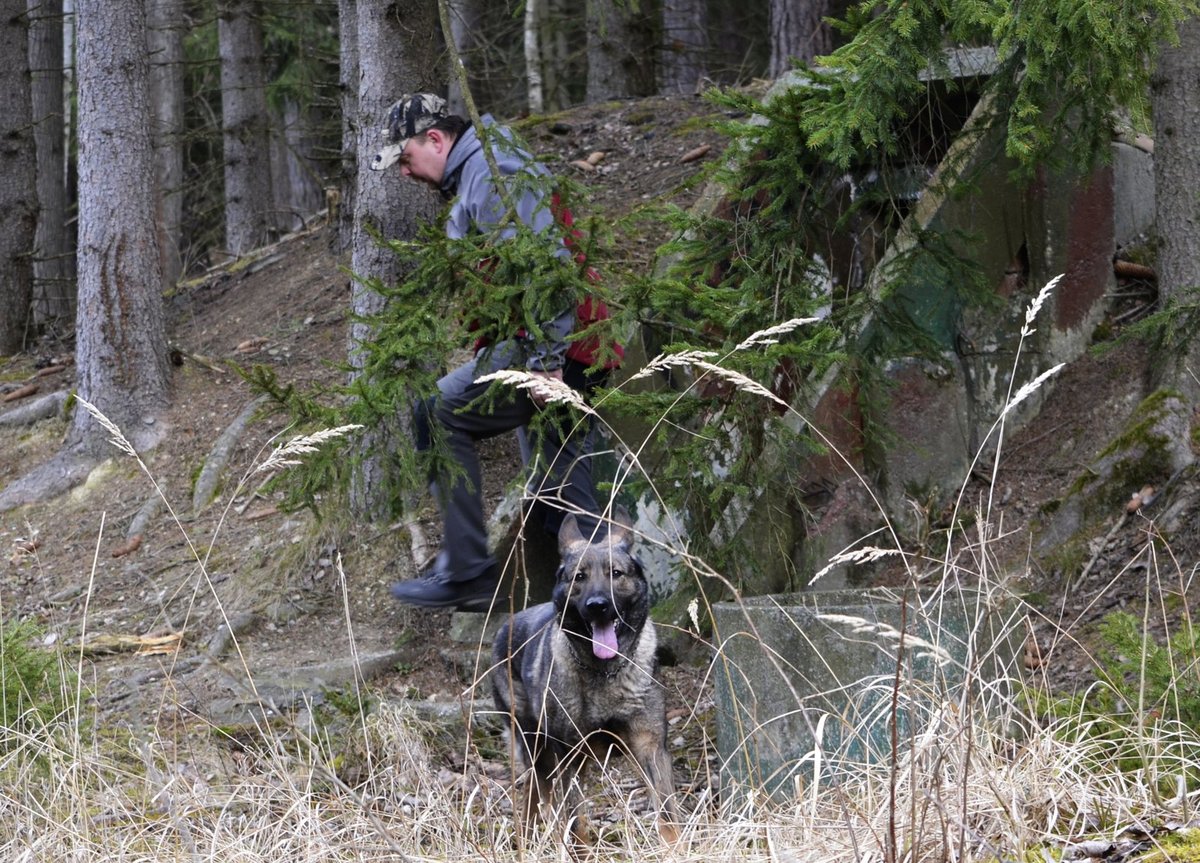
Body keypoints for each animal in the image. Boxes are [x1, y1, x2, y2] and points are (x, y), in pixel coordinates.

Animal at [487, 508, 676, 844]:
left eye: (616, 574)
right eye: (579, 577)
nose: (598, 606)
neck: (605, 672)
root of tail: (504, 628)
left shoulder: (650, 748)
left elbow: (667, 818)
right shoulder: (569, 759)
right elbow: (576, 826)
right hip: (537, 747)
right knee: (537, 794)